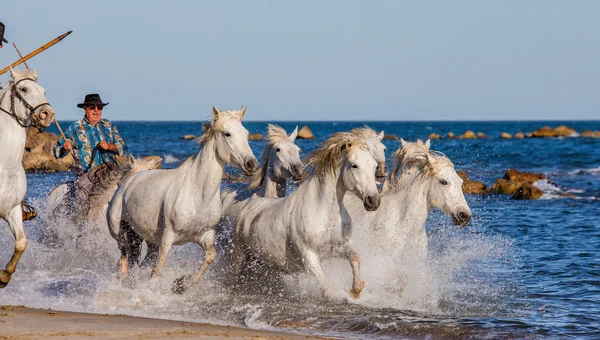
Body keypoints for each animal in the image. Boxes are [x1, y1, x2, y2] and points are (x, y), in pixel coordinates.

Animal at [0, 68, 55, 286]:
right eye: (24, 89)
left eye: (44, 91)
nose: (47, 114)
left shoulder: (12, 209)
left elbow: (21, 243)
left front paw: (4, 276)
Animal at [106, 106, 256, 292]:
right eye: (227, 134)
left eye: (246, 133)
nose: (251, 164)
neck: (199, 196)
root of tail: (128, 180)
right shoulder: (168, 237)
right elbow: (158, 269)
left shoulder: (205, 235)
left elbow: (210, 257)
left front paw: (182, 283)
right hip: (120, 231)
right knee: (124, 256)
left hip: (145, 238)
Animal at [233, 131, 380, 298]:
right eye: (354, 165)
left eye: (374, 166)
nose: (374, 201)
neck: (324, 212)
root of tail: (250, 202)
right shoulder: (309, 256)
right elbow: (326, 289)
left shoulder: (340, 246)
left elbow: (355, 257)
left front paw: (355, 290)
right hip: (238, 256)